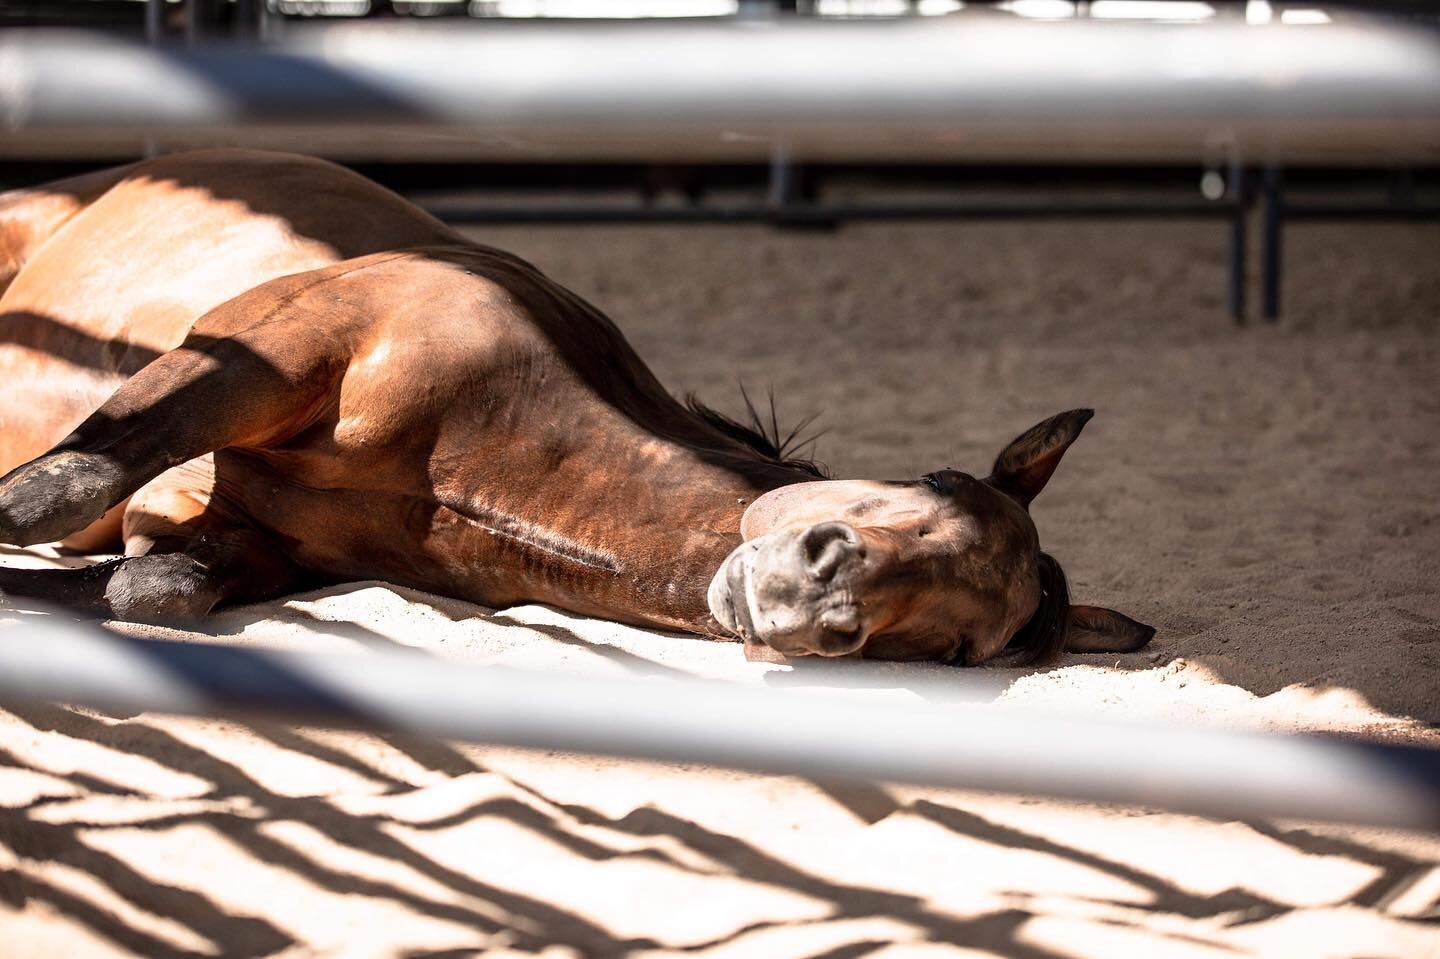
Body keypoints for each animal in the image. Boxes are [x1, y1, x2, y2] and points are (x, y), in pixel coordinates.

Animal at [0, 149, 1146, 665]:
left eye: (958, 651)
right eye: (938, 486)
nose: (812, 592)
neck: (481, 474)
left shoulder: (245, 532)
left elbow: (147, 591)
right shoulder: (288, 340)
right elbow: (69, 482)